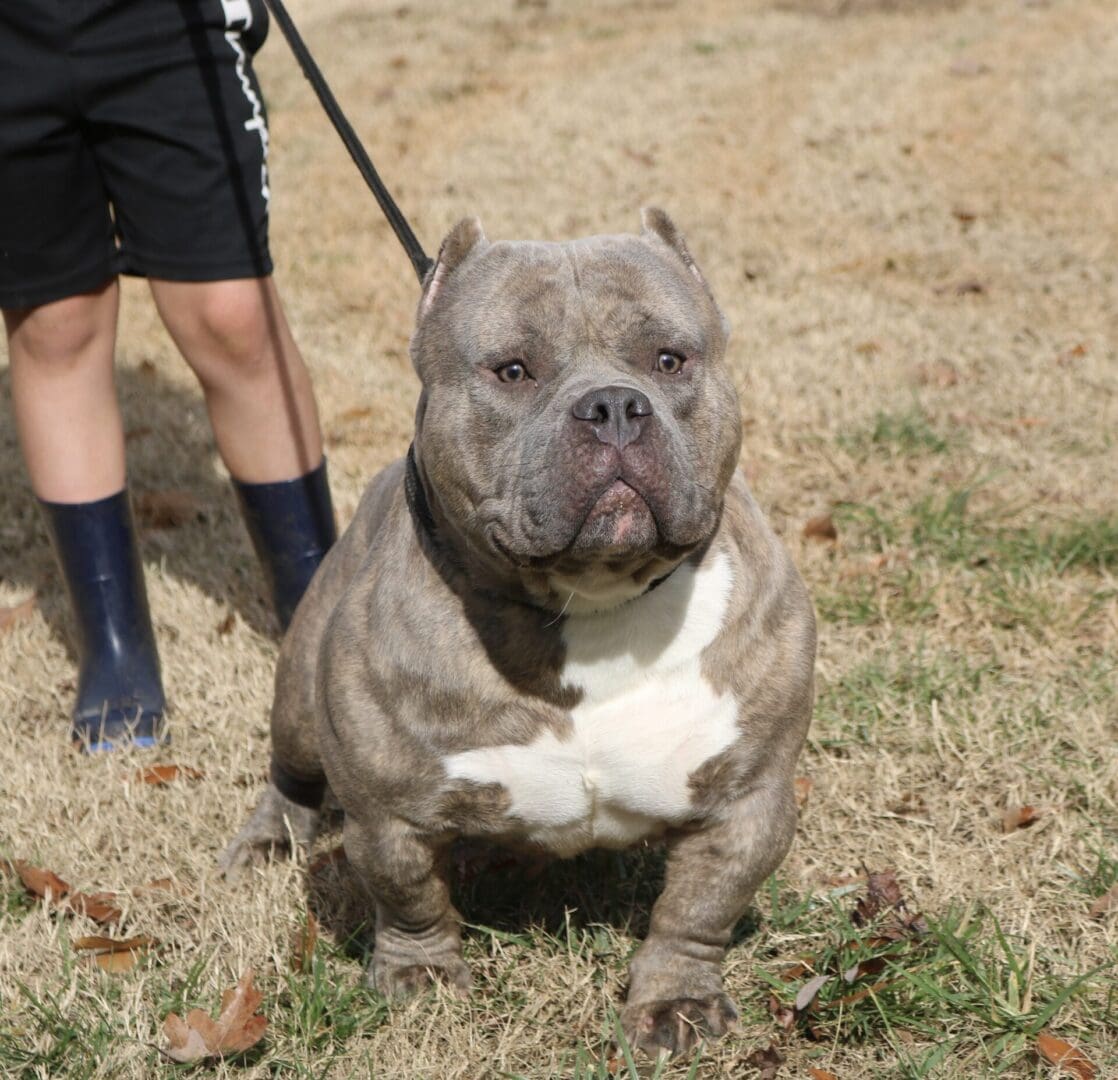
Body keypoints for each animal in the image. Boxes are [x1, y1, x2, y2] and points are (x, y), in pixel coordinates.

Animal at [220, 209, 813, 1055]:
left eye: (670, 360)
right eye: (512, 371)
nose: (614, 405)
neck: (591, 606)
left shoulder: (748, 800)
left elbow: (698, 910)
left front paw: (676, 1000)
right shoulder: (387, 817)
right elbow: (409, 898)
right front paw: (421, 977)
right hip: (300, 699)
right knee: (290, 777)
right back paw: (267, 842)